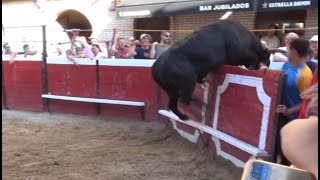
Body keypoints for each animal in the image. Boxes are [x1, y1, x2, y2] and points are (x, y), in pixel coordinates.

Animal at [152, 19, 284, 119]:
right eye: (266, 56)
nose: (267, 65)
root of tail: (156, 69)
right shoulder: (242, 54)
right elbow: (252, 58)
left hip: (172, 90)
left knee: (174, 104)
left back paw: (184, 115)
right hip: (188, 82)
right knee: (184, 100)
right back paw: (205, 106)